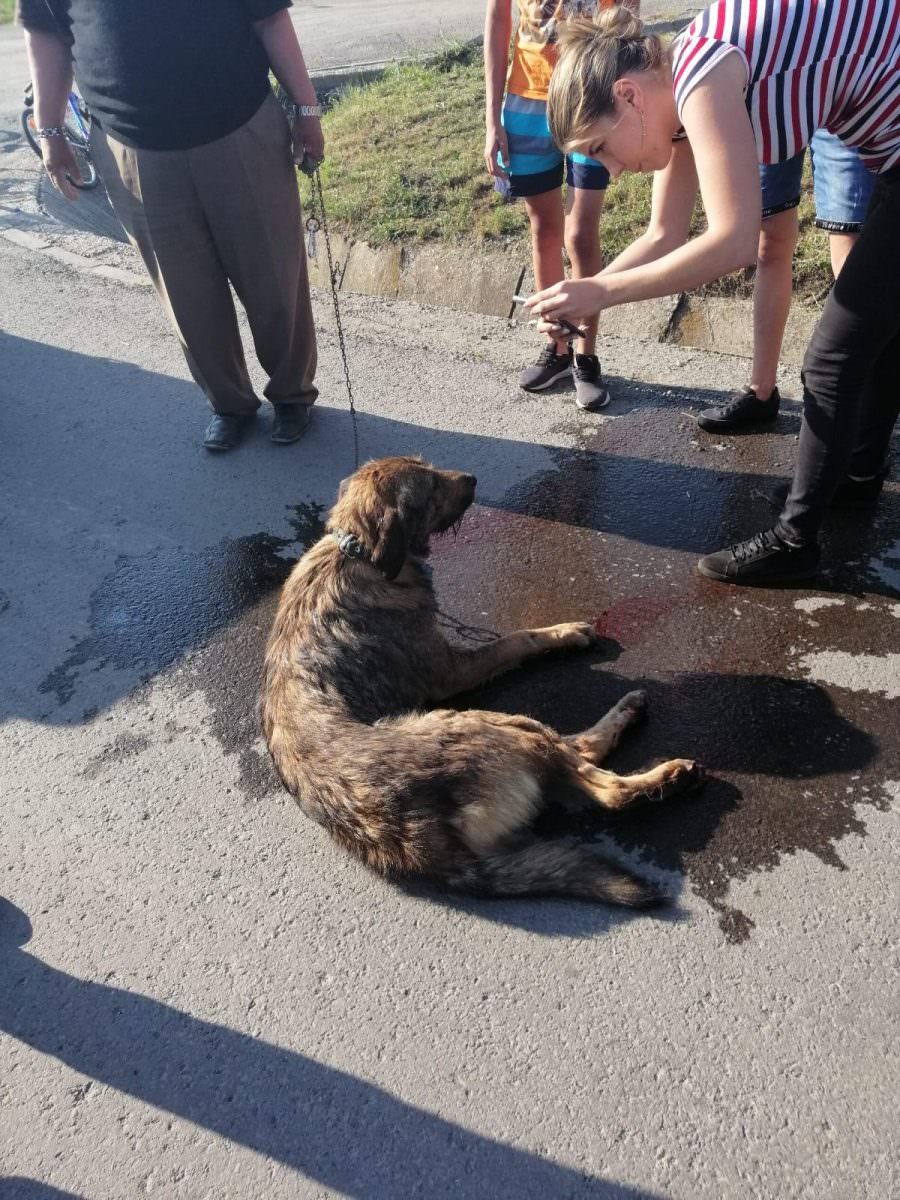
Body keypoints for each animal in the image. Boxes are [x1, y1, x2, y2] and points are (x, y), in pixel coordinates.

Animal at [262, 453, 705, 902]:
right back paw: (664, 766)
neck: (357, 553)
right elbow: (518, 639)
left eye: (427, 466)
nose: (471, 479)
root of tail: (427, 844)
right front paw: (562, 633)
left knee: (576, 754)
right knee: (599, 779)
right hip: (489, 724)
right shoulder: (453, 671)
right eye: (431, 488)